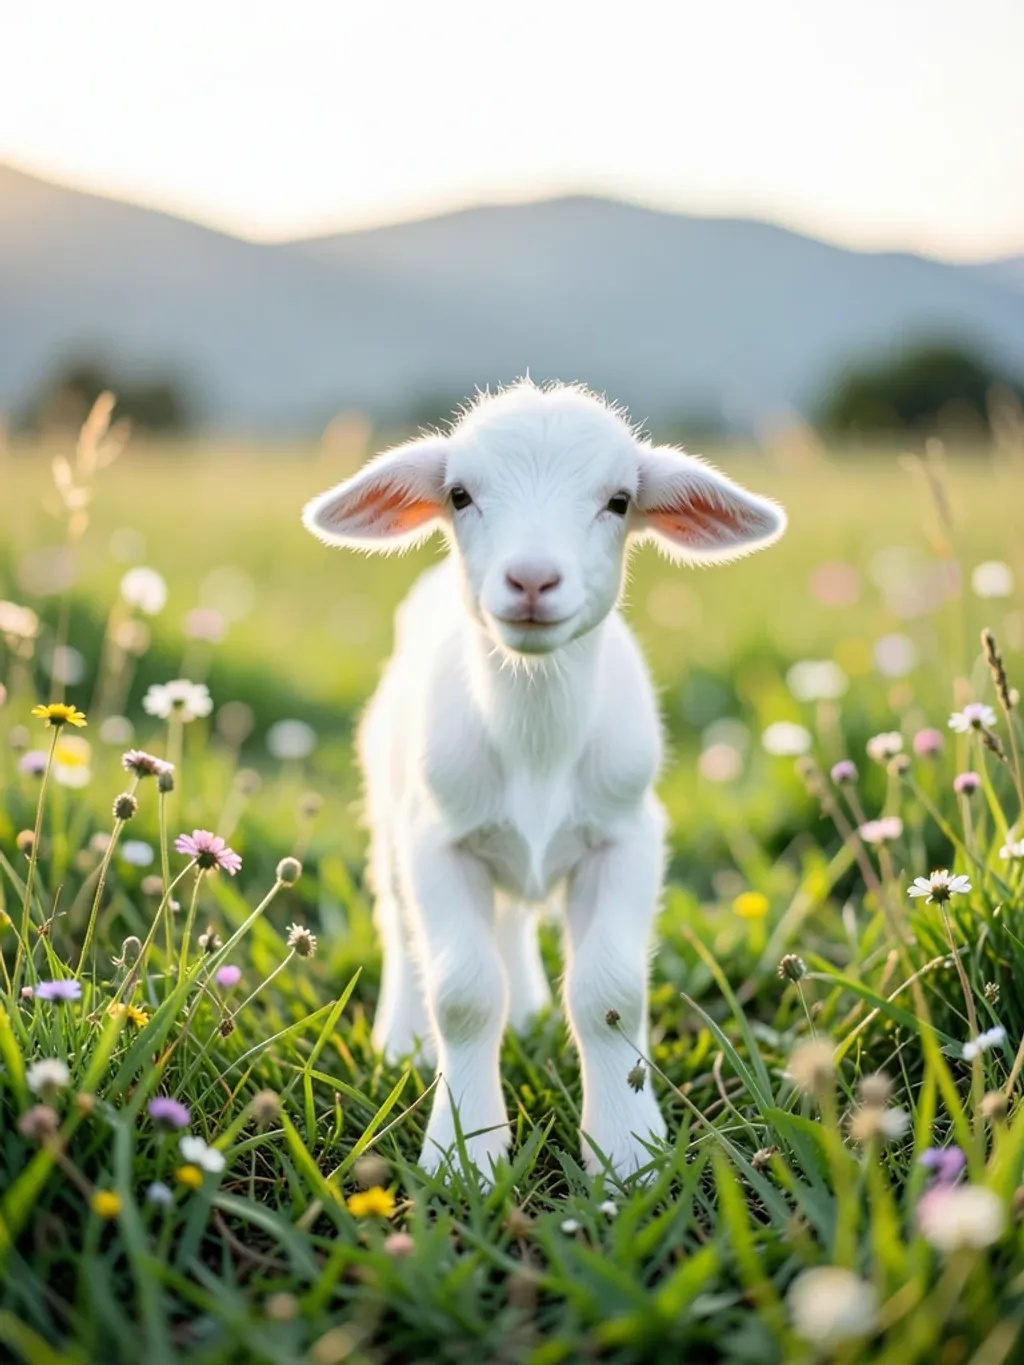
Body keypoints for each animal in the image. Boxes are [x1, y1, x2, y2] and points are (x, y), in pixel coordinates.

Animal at [303, 380, 786, 1180]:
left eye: (619, 501)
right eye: (460, 494)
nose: (531, 579)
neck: (534, 741)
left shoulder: (626, 837)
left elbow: (611, 993)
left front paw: (626, 1149)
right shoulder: (439, 841)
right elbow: (463, 994)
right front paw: (464, 1152)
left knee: (512, 920)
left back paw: (526, 1007)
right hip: (389, 807)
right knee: (400, 924)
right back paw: (403, 1039)